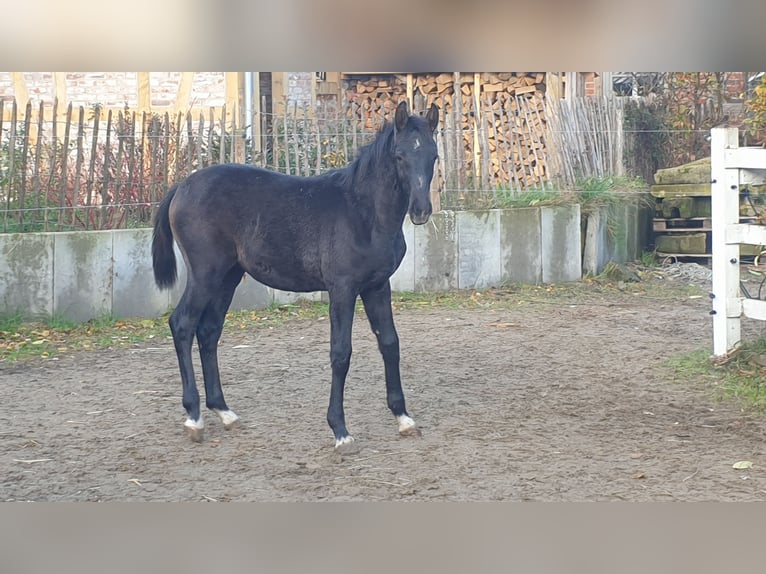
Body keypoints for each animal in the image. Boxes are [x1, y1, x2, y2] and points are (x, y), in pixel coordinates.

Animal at [152, 101, 438, 448]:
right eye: (399, 156)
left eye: (434, 156)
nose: (421, 211)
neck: (364, 213)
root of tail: (181, 186)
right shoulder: (342, 288)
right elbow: (340, 352)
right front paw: (340, 430)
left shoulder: (377, 286)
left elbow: (390, 343)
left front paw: (403, 418)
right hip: (205, 273)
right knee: (182, 324)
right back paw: (193, 417)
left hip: (228, 276)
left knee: (208, 331)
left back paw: (224, 411)